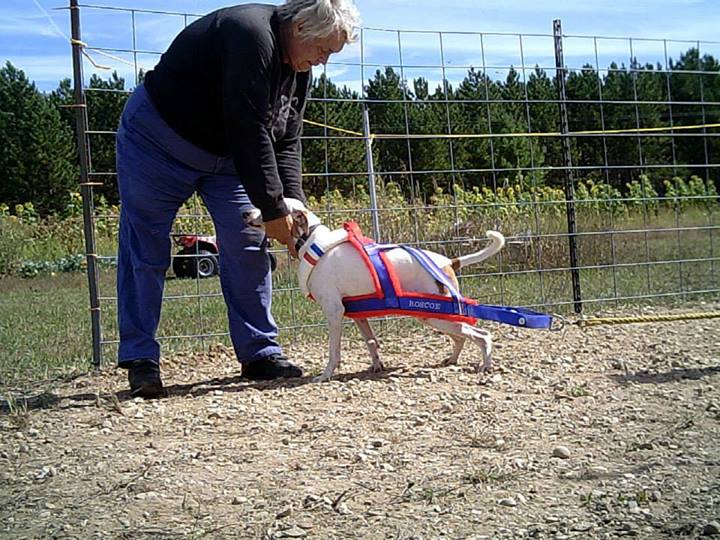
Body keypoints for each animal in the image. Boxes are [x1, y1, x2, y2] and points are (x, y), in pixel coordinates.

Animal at [250, 199, 504, 384]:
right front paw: (376, 366)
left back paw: (485, 365)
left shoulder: (334, 312)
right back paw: (452, 360)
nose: (245, 214)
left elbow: (334, 352)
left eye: (266, 209)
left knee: (482, 335)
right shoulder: (358, 315)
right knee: (461, 336)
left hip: (436, 315)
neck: (312, 241)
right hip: (435, 316)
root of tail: (448, 262)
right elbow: (371, 342)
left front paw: (325, 375)